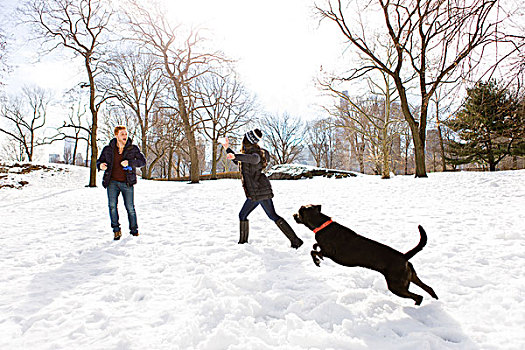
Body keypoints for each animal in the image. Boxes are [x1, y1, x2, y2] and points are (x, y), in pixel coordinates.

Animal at [294, 204, 438, 304]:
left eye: (299, 213)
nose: (293, 215)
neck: (321, 224)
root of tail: (404, 256)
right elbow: (315, 246)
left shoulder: (329, 252)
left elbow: (313, 251)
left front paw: (317, 261)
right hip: (410, 277)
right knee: (429, 288)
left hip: (396, 285)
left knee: (419, 297)